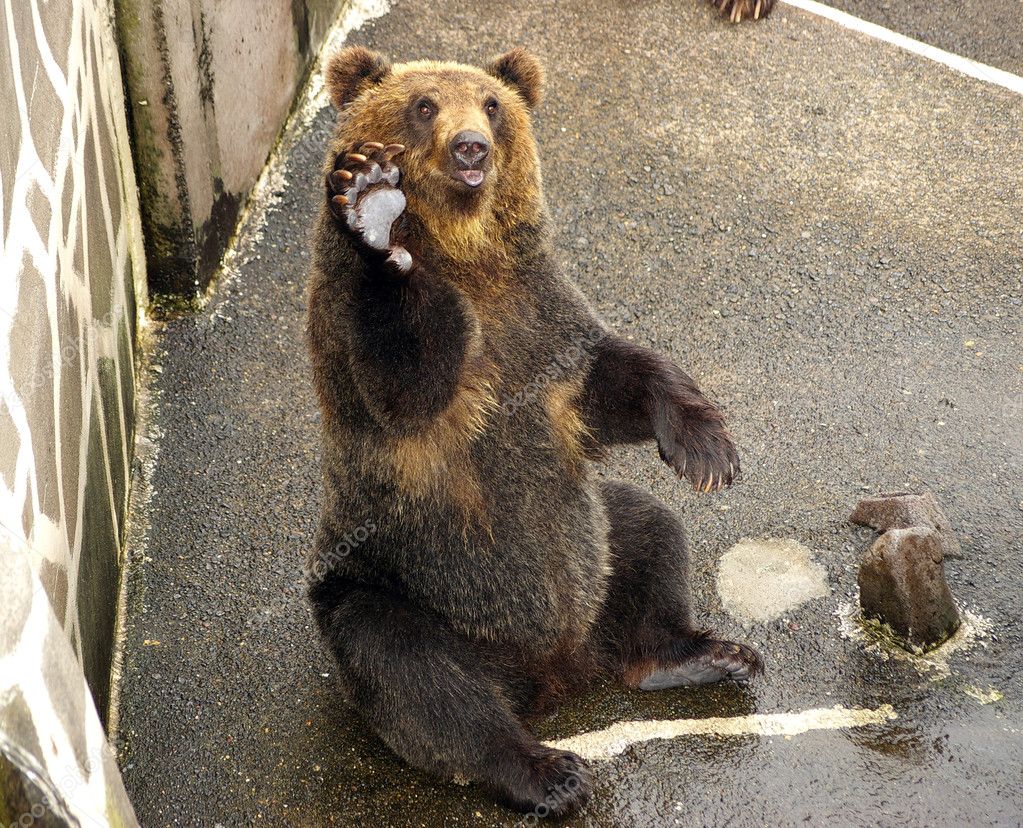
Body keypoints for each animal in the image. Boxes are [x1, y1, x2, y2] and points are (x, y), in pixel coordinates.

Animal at [302, 48, 761, 818]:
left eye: (491, 104)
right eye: (423, 104)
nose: (471, 148)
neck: (465, 252)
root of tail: (556, 676)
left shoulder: (541, 316)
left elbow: (608, 379)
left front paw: (706, 448)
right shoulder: (363, 341)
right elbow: (406, 383)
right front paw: (372, 209)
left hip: (591, 542)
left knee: (648, 533)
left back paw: (700, 655)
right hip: (393, 585)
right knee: (414, 673)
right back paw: (545, 771)